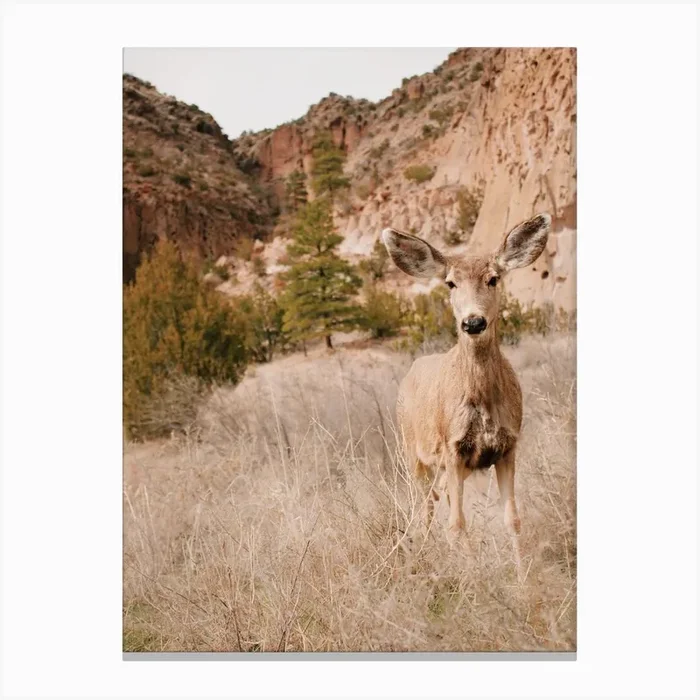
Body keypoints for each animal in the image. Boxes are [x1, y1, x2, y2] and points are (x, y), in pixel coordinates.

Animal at [382, 213, 552, 560]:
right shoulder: (452, 447)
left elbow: (513, 520)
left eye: (493, 279)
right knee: (424, 506)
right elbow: (457, 526)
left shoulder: (508, 446)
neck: (482, 403)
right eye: (450, 282)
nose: (473, 322)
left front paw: (522, 571)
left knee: (437, 499)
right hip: (410, 451)